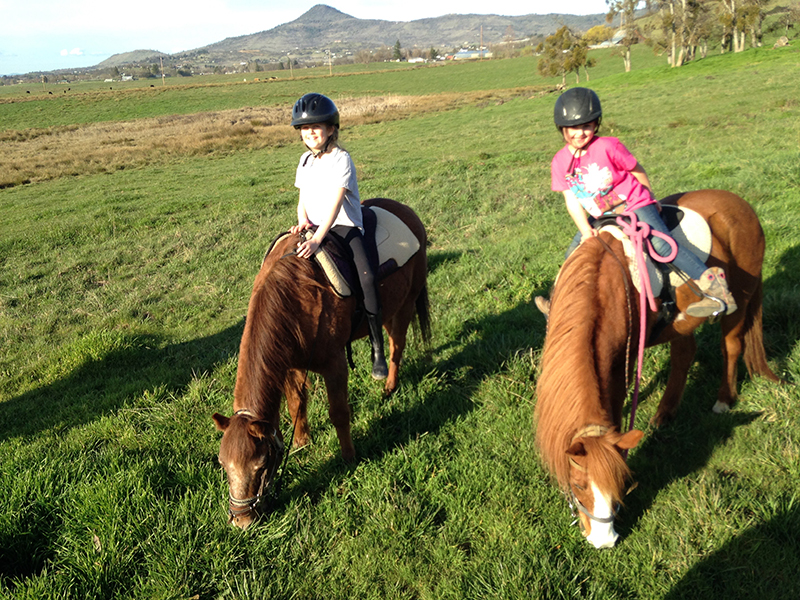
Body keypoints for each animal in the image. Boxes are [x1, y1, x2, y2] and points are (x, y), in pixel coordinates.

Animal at [209, 199, 428, 528]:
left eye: (261, 465)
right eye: (224, 465)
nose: (242, 520)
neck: (298, 294)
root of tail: (405, 210)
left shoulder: (334, 363)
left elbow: (339, 413)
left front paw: (348, 457)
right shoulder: (290, 363)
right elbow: (295, 405)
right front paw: (302, 442)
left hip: (404, 304)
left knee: (396, 346)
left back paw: (388, 384)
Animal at [536, 191, 780, 548]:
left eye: (622, 481)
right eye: (579, 486)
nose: (605, 541)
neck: (600, 285)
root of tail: (738, 202)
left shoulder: (620, 367)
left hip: (741, 300)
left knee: (732, 346)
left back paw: (723, 399)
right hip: (682, 322)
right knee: (684, 354)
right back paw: (665, 414)